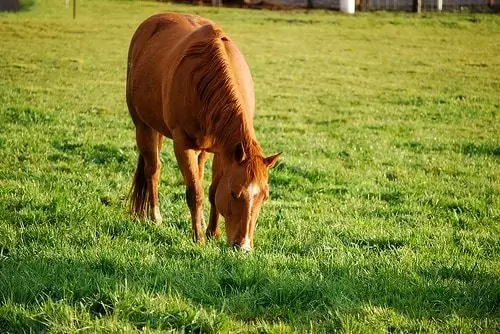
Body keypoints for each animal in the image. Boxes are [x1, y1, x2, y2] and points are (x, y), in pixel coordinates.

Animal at [125, 13, 282, 250]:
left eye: (264, 197)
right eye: (235, 194)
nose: (244, 247)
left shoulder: (223, 151)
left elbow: (211, 191)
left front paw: (211, 233)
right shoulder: (182, 145)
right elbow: (195, 193)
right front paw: (198, 238)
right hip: (144, 127)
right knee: (153, 170)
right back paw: (155, 217)